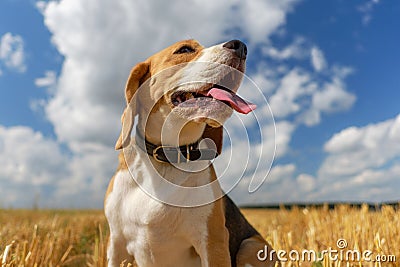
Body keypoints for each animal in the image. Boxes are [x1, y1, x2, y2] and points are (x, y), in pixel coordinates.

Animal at [104, 39, 278, 267]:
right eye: (185, 49)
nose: (241, 46)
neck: (167, 158)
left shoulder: (213, 242)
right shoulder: (115, 244)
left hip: (250, 246)